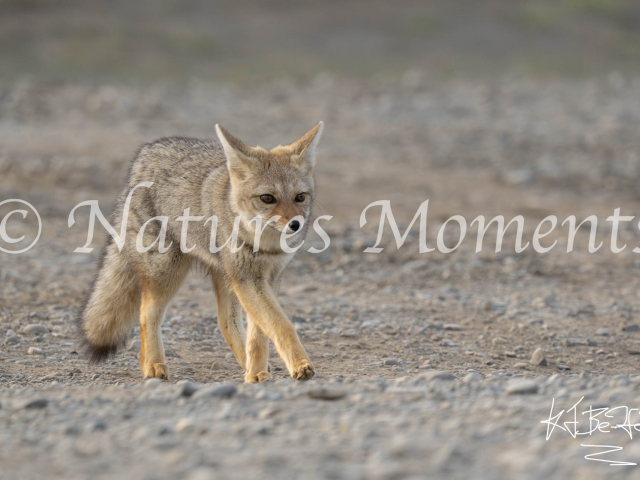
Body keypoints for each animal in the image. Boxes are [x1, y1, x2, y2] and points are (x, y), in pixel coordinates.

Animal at [76, 123, 324, 382]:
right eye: (267, 198)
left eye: (300, 197)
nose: (295, 224)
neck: (266, 245)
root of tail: (145, 153)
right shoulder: (247, 278)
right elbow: (280, 324)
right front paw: (295, 365)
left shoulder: (267, 277)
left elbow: (261, 331)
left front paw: (257, 373)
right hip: (168, 271)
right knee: (146, 314)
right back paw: (153, 365)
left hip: (224, 277)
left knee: (225, 323)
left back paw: (247, 366)